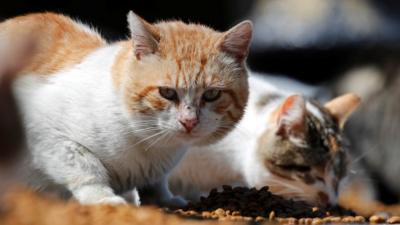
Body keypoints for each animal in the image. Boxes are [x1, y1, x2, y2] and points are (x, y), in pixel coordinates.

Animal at [1, 11, 252, 206]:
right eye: (167, 92)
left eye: (211, 94)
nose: (189, 121)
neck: (150, 143)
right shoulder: (48, 135)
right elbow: (87, 167)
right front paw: (102, 198)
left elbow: (157, 183)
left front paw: (163, 198)